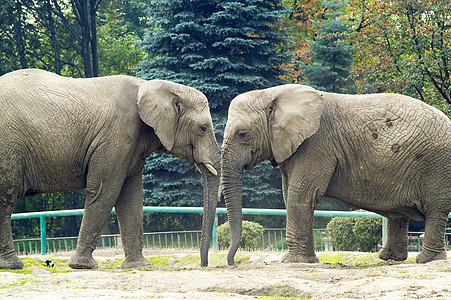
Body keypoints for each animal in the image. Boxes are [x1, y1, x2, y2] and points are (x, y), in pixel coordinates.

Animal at [0, 68, 220, 270]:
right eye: (203, 128)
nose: (203, 264)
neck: (149, 85)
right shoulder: (117, 134)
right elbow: (105, 191)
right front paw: (82, 266)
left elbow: (131, 196)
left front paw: (138, 266)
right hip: (9, 144)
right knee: (6, 198)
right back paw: (13, 265)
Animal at [222, 84, 451, 264]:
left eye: (243, 134)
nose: (233, 263)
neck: (271, 93)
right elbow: (290, 196)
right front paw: (309, 261)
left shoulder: (316, 144)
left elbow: (300, 194)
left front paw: (292, 261)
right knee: (398, 213)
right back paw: (389, 258)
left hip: (436, 165)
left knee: (435, 210)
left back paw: (426, 260)